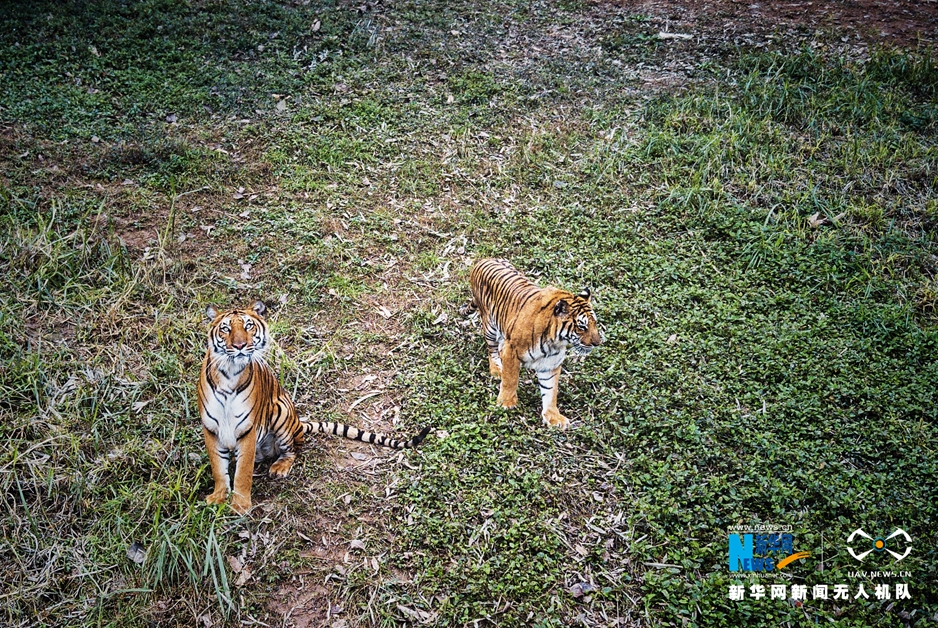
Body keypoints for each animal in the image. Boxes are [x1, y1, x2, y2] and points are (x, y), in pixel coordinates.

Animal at [199, 300, 434, 516]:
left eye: (248, 326)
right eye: (226, 329)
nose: (240, 346)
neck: (230, 373)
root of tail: (299, 424)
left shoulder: (248, 429)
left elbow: (243, 473)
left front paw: (240, 505)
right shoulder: (211, 428)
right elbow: (218, 468)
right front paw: (218, 497)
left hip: (281, 412)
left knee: (292, 450)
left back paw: (279, 467)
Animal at [466, 258, 600, 430]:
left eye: (594, 323)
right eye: (582, 326)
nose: (598, 343)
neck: (554, 341)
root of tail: (483, 259)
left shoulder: (550, 363)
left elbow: (550, 391)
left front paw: (553, 417)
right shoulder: (511, 350)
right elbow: (510, 379)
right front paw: (506, 403)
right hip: (490, 325)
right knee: (492, 349)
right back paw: (496, 369)